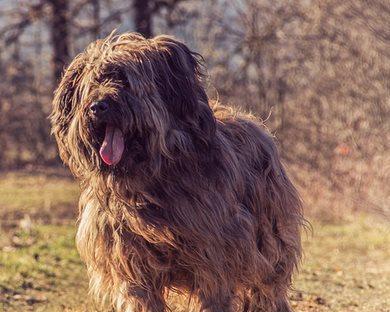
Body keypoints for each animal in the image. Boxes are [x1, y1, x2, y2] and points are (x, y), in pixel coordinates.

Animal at [50, 32, 304, 312]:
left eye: (125, 80)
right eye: (92, 83)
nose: (97, 106)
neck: (150, 182)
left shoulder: (215, 259)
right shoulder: (131, 263)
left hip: (270, 240)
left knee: (267, 288)